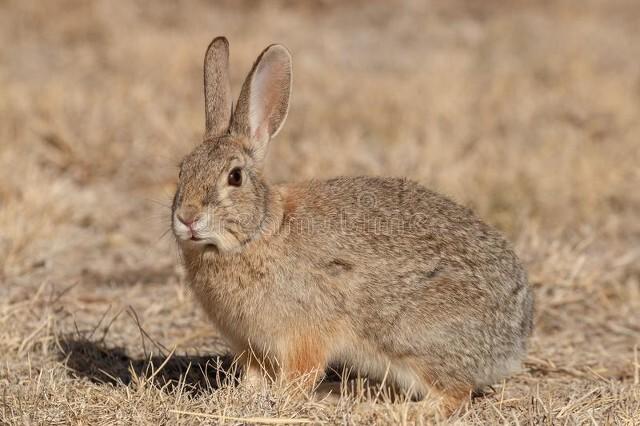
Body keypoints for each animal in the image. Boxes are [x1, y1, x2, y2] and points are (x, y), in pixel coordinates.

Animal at [171, 37, 536, 416]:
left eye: (235, 177)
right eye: (182, 170)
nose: (187, 217)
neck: (255, 235)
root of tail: (514, 340)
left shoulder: (304, 334)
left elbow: (299, 375)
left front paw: (280, 401)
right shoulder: (249, 345)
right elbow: (254, 377)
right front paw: (243, 397)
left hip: (416, 338)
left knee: (454, 393)